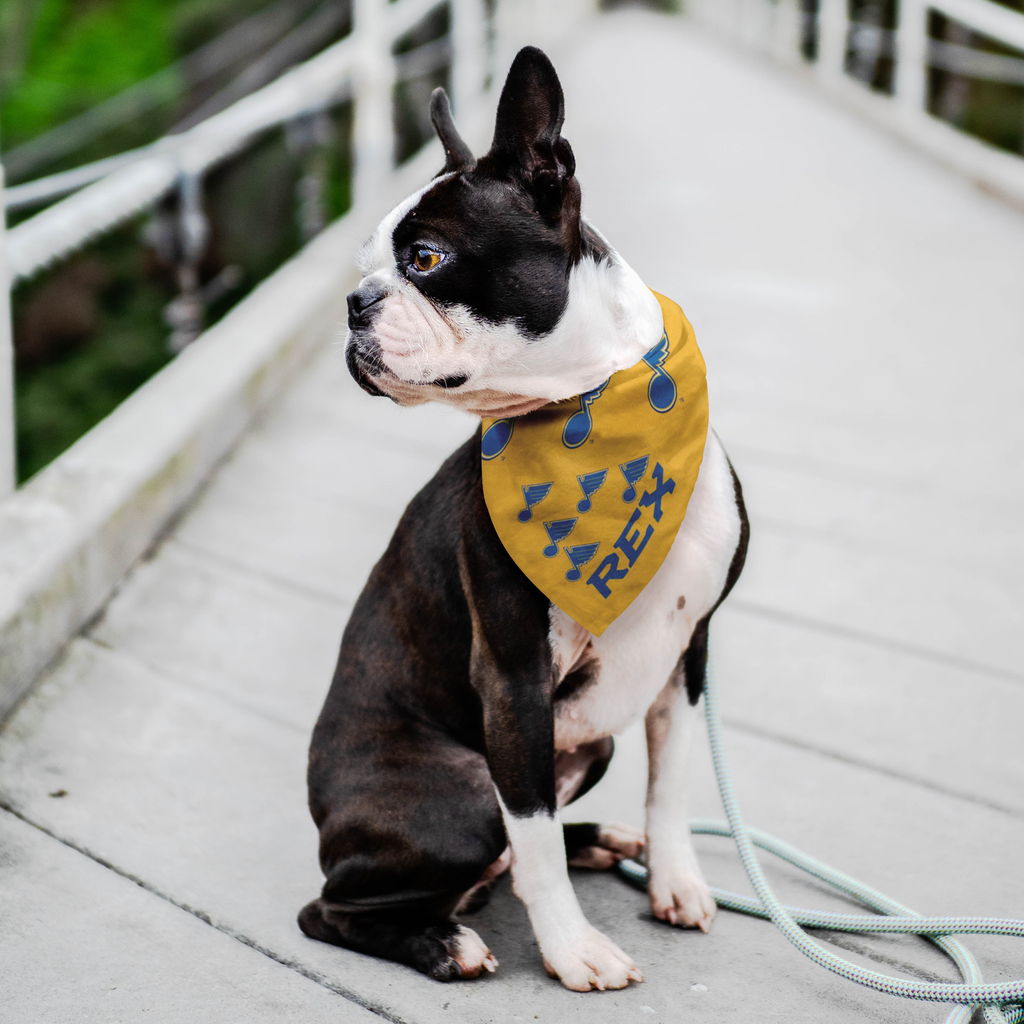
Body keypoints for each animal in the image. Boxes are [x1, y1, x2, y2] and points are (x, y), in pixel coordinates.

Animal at [299, 44, 749, 987]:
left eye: (424, 258)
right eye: (368, 265)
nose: (355, 303)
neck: (591, 411)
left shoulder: (688, 656)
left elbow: (671, 785)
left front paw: (676, 880)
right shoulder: (513, 678)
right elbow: (533, 835)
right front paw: (574, 950)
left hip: (591, 745)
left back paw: (603, 840)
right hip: (464, 793)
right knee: (339, 906)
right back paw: (443, 941)